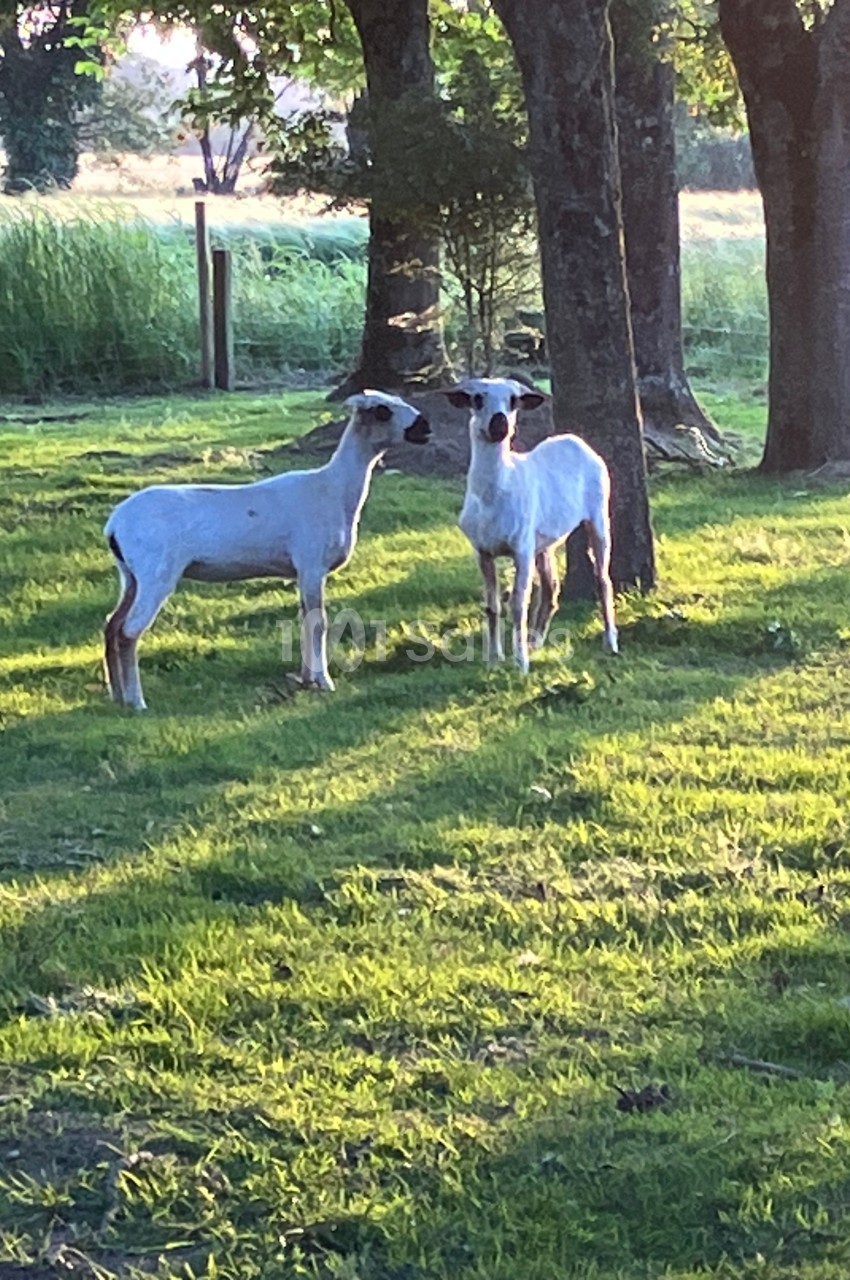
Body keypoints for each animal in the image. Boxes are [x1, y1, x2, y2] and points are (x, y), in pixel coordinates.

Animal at [103, 391, 431, 709]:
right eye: (382, 410)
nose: (425, 426)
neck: (333, 489)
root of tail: (114, 524)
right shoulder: (312, 565)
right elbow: (318, 622)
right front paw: (323, 681)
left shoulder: (301, 572)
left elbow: (305, 620)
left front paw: (307, 678)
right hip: (155, 574)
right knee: (128, 632)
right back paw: (136, 701)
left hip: (131, 576)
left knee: (112, 625)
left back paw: (117, 695)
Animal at [447, 377, 618, 673]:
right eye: (477, 398)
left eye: (514, 400)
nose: (500, 425)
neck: (494, 494)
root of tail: (576, 440)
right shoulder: (483, 551)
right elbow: (492, 606)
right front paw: (494, 660)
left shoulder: (521, 548)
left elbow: (518, 603)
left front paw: (521, 664)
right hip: (543, 540)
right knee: (551, 586)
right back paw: (536, 641)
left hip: (597, 515)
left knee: (603, 579)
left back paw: (610, 642)